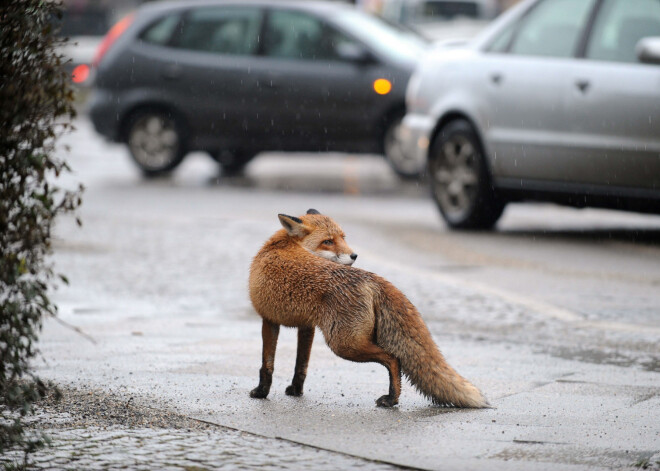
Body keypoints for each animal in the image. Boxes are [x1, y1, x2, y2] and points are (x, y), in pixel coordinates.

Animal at [249, 210, 490, 410]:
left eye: (342, 238)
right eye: (328, 242)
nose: (354, 255)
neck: (281, 244)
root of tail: (371, 277)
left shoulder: (268, 319)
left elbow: (266, 364)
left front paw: (261, 392)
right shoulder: (306, 326)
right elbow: (301, 364)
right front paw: (296, 391)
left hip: (344, 344)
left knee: (393, 358)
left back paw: (391, 399)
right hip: (349, 341)